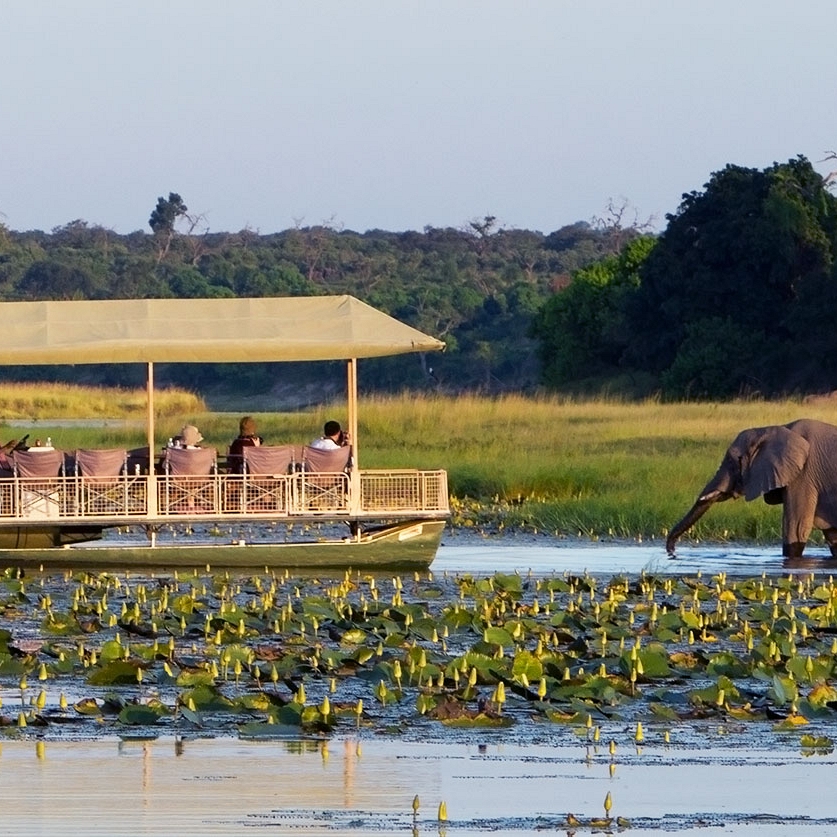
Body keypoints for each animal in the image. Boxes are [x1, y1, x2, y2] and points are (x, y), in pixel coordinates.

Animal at [668, 416, 837, 560]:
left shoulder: (803, 477)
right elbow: (832, 536)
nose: (671, 552)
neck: (776, 429)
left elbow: (796, 529)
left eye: (733, 461)